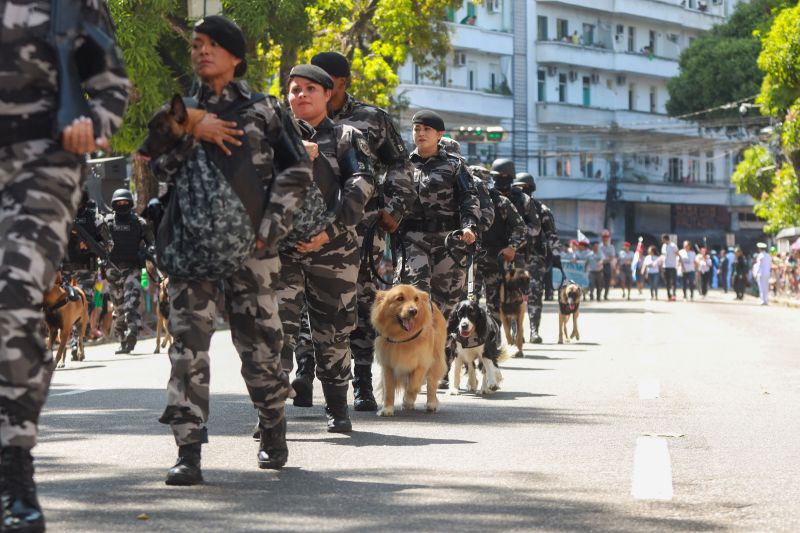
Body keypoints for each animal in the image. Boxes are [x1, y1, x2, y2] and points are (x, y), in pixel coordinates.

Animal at [370, 282, 446, 416]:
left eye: (416, 299)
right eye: (400, 298)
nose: (413, 311)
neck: (402, 337)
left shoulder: (423, 362)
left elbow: (413, 385)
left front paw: (407, 400)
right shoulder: (387, 365)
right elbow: (389, 389)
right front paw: (387, 409)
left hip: (436, 358)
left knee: (431, 383)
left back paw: (430, 404)